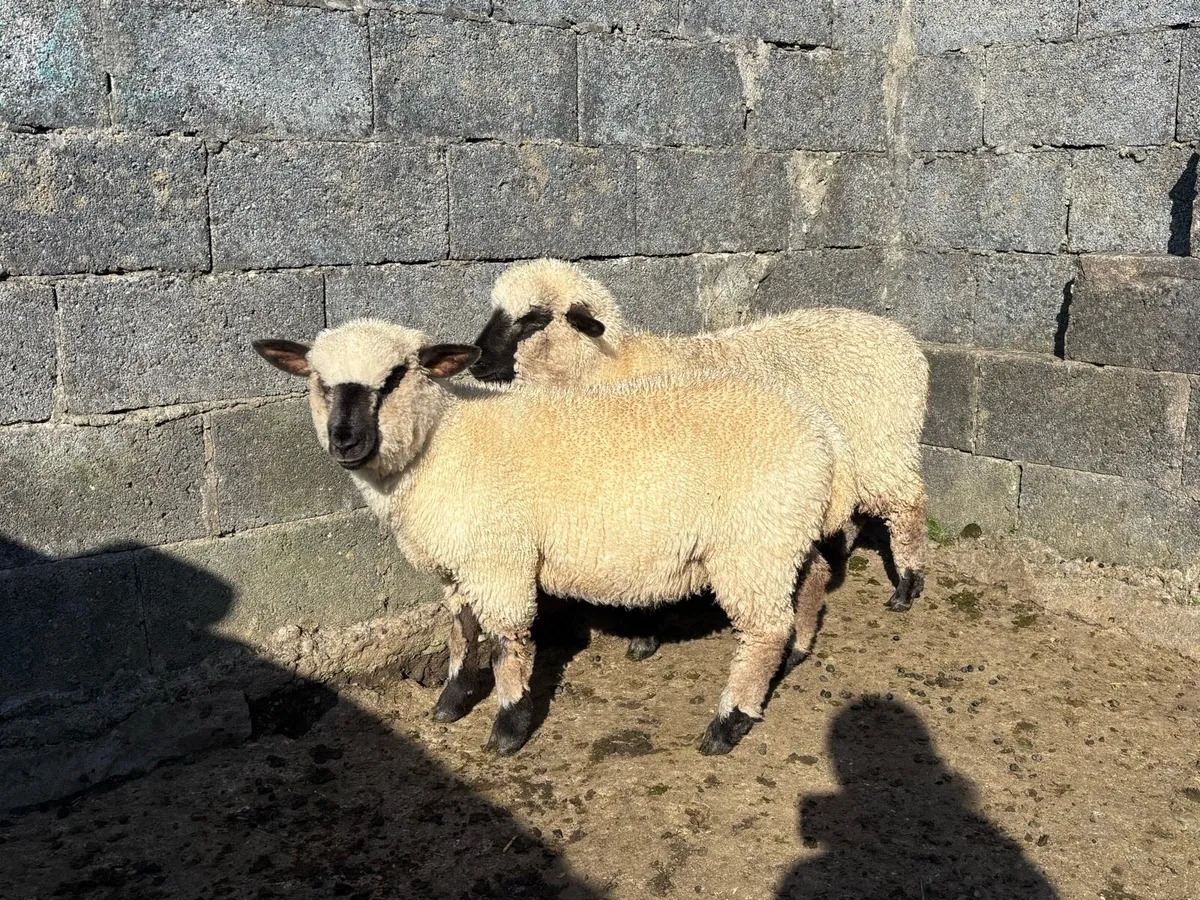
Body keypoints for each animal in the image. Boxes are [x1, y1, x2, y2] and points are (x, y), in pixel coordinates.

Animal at [254, 318, 856, 756]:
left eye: (398, 375)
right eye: (319, 381)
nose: (345, 441)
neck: (442, 445)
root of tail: (822, 432)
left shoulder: (498, 558)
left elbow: (507, 643)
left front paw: (508, 728)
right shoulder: (459, 564)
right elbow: (460, 630)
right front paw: (450, 701)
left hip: (753, 543)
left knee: (764, 630)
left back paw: (728, 724)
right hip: (785, 533)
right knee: (812, 582)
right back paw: (796, 654)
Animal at [471, 259, 930, 641]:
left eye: (533, 319)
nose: (475, 362)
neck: (608, 366)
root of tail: (902, 337)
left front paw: (644, 634)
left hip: (883, 447)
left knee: (907, 505)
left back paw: (907, 586)